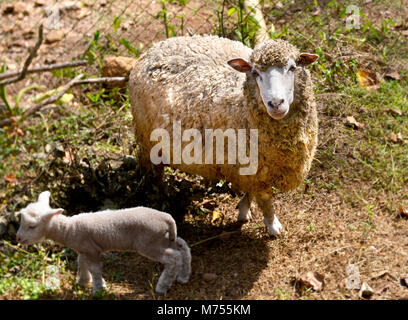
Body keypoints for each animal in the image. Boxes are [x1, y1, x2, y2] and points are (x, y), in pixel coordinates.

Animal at [16, 192, 192, 296]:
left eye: (32, 226)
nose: (18, 238)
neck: (69, 229)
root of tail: (167, 217)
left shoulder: (91, 249)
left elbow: (94, 268)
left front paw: (98, 289)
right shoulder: (84, 249)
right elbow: (81, 263)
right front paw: (83, 281)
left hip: (149, 243)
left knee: (173, 258)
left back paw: (162, 286)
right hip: (164, 238)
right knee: (183, 249)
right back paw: (183, 277)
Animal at [129, 35, 318, 235]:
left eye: (292, 68)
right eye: (255, 73)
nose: (275, 103)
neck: (242, 105)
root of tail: (154, 48)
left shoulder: (248, 167)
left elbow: (250, 191)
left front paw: (244, 209)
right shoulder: (255, 169)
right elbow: (265, 198)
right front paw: (273, 225)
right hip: (147, 138)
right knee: (152, 172)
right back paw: (159, 198)